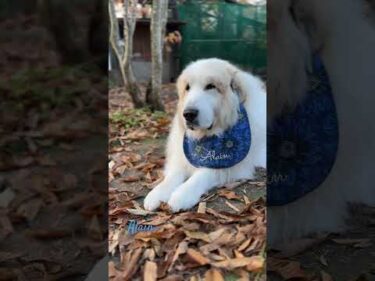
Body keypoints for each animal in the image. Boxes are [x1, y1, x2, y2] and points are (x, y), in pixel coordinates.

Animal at [144, 59, 268, 212]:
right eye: (187, 88)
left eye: (211, 86)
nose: (188, 114)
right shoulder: (181, 157)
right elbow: (173, 176)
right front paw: (157, 193)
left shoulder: (231, 165)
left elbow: (204, 174)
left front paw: (182, 194)